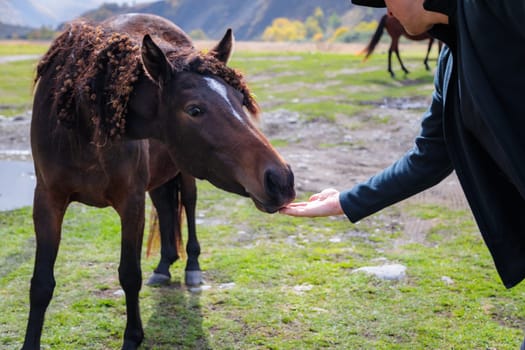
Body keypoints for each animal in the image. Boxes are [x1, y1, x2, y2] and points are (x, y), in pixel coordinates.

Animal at [23, 13, 294, 350]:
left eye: (241, 100)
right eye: (194, 109)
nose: (281, 179)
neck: (83, 123)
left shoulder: (131, 202)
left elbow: (129, 274)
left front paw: (132, 337)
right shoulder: (47, 200)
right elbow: (41, 283)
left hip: (184, 175)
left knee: (187, 206)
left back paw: (191, 267)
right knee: (165, 208)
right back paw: (165, 266)